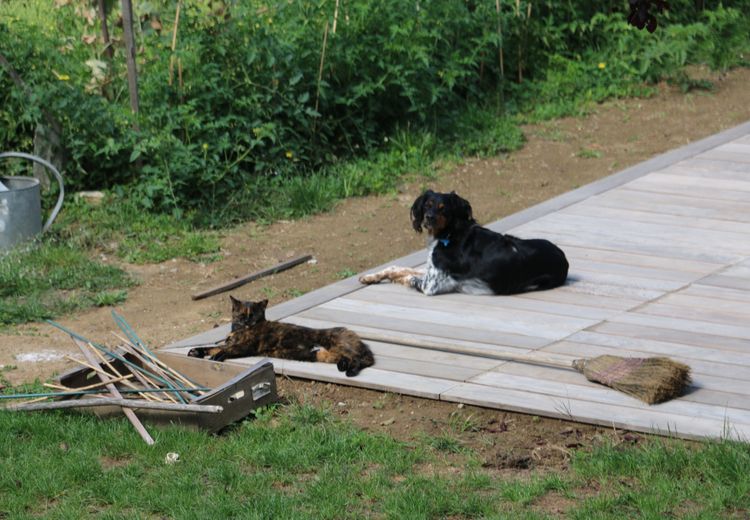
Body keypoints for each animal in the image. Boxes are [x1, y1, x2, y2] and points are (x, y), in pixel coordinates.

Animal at [188, 296, 376, 378]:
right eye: (242, 315)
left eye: (254, 315)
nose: (248, 321)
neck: (239, 331)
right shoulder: (230, 343)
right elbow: (213, 347)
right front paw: (196, 351)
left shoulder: (247, 346)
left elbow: (227, 350)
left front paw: (218, 356)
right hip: (329, 355)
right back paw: (343, 366)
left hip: (341, 346)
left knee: (360, 360)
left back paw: (350, 371)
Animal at [360, 190, 568, 296]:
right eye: (427, 205)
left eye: (443, 208)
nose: (428, 218)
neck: (449, 235)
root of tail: (564, 259)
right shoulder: (430, 270)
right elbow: (397, 268)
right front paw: (370, 277)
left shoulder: (430, 285)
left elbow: (408, 277)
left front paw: (392, 280)